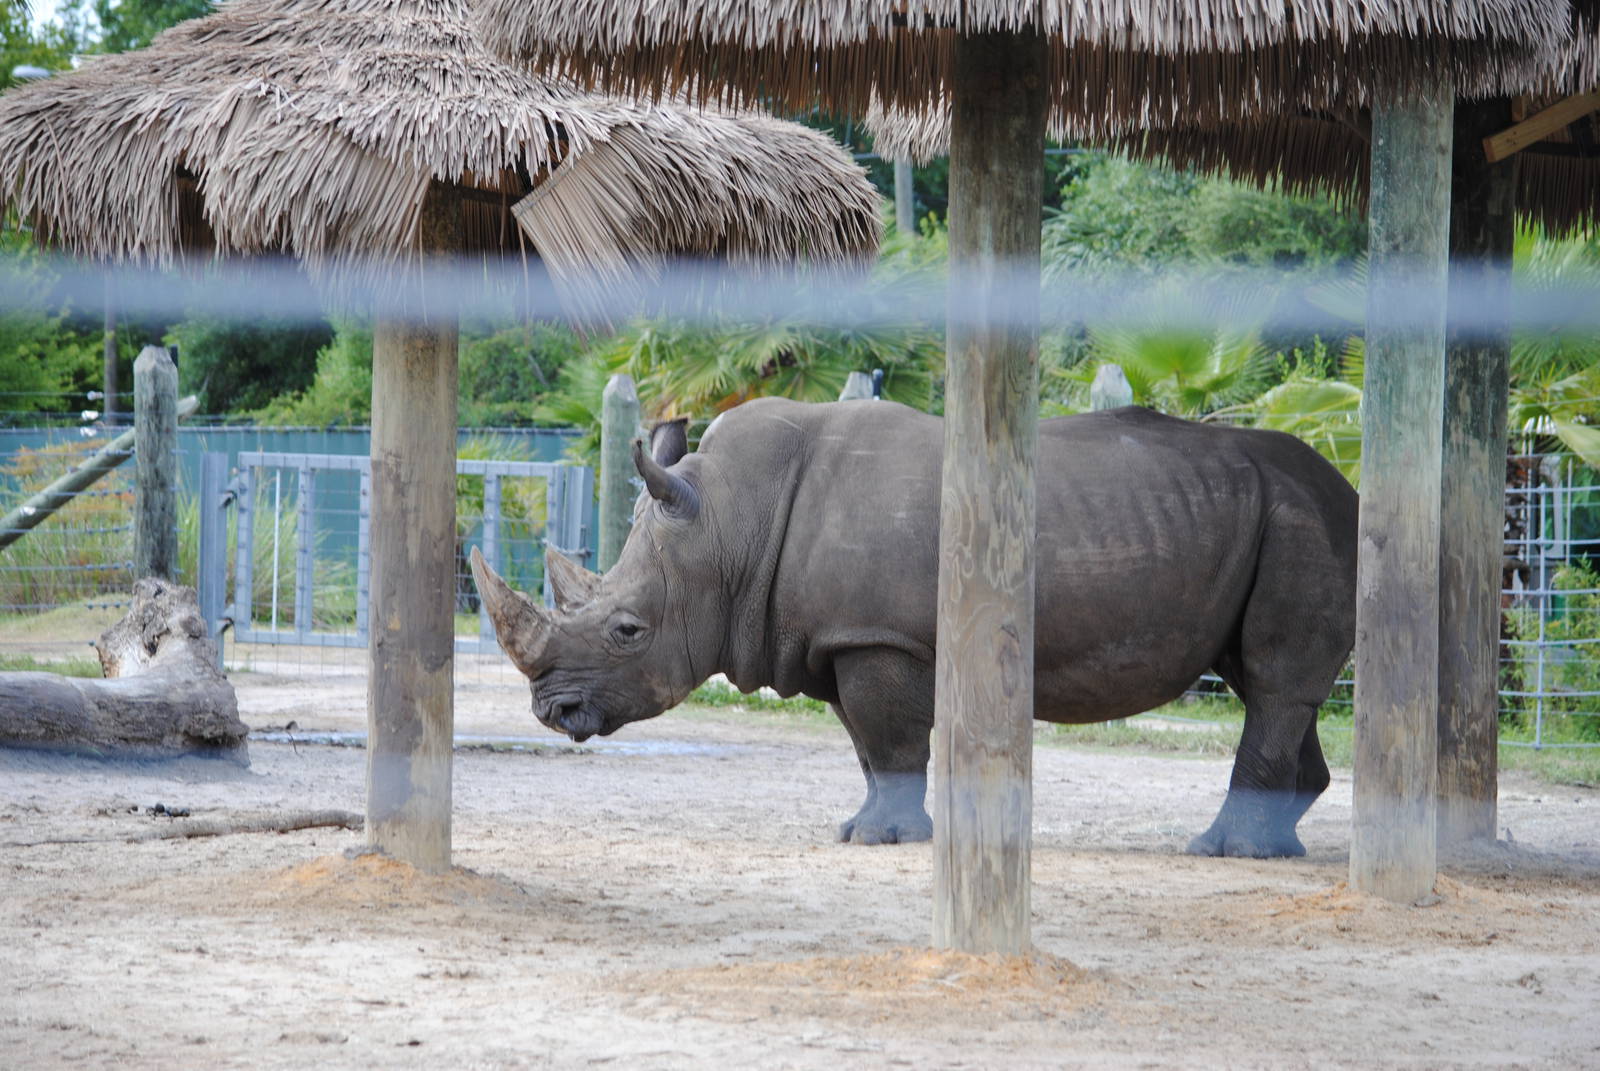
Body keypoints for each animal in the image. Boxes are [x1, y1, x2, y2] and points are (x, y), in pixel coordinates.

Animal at [471, 398, 1357, 858]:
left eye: (627, 629)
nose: (552, 712)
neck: (730, 525)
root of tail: (1351, 489)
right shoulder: (834, 635)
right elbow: (868, 748)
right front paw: (859, 828)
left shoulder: (880, 637)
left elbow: (891, 740)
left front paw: (884, 840)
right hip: (1270, 515)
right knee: (1269, 685)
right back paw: (1278, 844)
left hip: (1298, 517)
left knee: (1274, 682)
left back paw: (1225, 849)